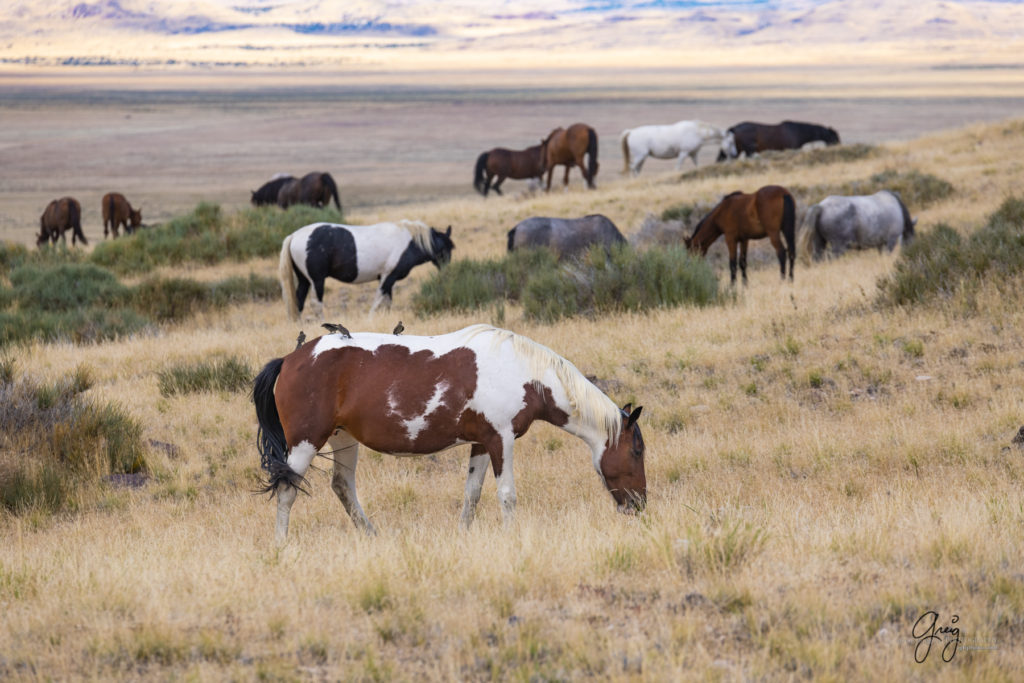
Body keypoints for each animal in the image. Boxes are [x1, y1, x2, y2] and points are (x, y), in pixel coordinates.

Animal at [251, 325, 643, 544]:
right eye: (637, 452)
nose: (639, 505)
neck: (523, 372)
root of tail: (290, 360)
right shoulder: (501, 440)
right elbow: (507, 496)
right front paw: (511, 538)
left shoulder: (482, 443)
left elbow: (472, 495)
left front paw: (464, 536)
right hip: (305, 443)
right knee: (287, 491)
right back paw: (281, 546)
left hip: (343, 439)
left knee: (342, 487)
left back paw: (372, 536)